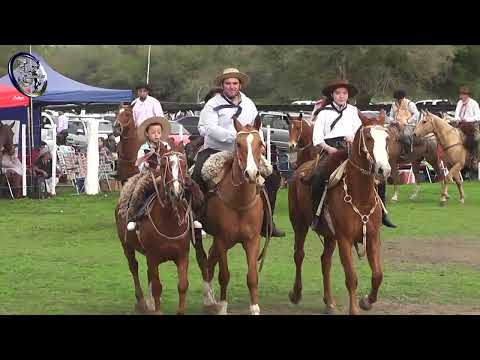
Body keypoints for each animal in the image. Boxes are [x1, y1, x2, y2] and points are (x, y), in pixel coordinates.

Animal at [115, 141, 202, 316]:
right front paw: (157, 309)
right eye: (163, 166)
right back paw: (142, 302)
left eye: (184, 164)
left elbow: (183, 285)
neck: (169, 221)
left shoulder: (182, 255)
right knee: (134, 268)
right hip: (126, 246)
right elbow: (157, 287)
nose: (176, 192)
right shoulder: (153, 256)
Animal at [197, 115, 268, 316]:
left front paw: (254, 308)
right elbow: (224, 275)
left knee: (210, 259)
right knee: (203, 260)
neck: (239, 203)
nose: (251, 173)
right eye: (238, 144)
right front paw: (223, 306)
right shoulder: (221, 239)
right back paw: (208, 298)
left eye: (261, 143)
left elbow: (252, 276)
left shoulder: (252, 240)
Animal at [286, 112, 392, 316]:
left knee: (325, 261)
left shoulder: (373, 237)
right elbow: (351, 277)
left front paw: (366, 302)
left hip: (329, 236)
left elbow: (378, 275)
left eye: (387, 138)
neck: (361, 198)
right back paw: (296, 294)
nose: (384, 170)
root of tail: (298, 171)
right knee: (299, 255)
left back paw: (329, 303)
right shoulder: (344, 239)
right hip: (299, 225)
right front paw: (354, 309)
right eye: (369, 138)